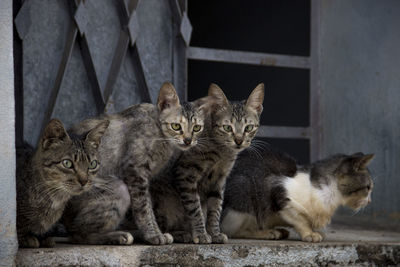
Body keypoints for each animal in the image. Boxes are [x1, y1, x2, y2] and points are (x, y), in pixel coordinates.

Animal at [63, 82, 208, 246]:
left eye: (196, 128)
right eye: (176, 126)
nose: (188, 140)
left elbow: (148, 206)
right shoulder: (135, 170)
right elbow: (144, 208)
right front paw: (154, 235)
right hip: (117, 188)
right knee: (79, 234)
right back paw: (118, 236)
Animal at [222, 150, 376, 244]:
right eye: (368, 188)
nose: (369, 201)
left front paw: (315, 231)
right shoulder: (280, 192)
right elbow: (300, 220)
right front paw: (310, 234)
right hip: (242, 194)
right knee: (234, 231)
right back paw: (268, 232)